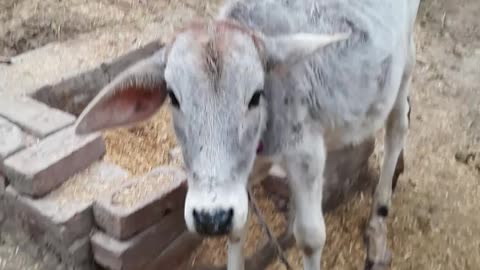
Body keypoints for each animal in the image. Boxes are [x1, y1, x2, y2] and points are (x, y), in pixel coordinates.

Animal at [74, 0, 420, 268]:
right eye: (173, 96)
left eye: (255, 95)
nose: (210, 217)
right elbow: (237, 229)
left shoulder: (305, 155)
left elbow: (310, 237)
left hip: (406, 58)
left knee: (398, 126)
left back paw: (378, 224)